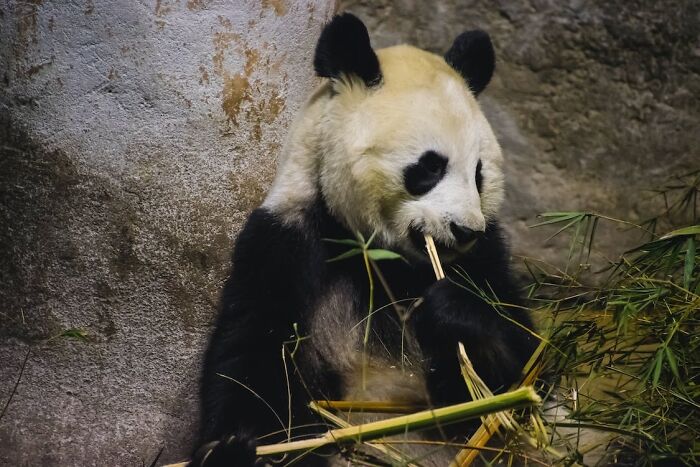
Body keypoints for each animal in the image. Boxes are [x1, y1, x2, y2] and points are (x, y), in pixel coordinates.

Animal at [191, 13, 537, 467]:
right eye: (430, 167)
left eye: (479, 174)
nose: (464, 230)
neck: (381, 257)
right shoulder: (285, 240)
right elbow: (251, 357)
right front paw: (235, 447)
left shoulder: (486, 257)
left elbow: (523, 365)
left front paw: (450, 311)